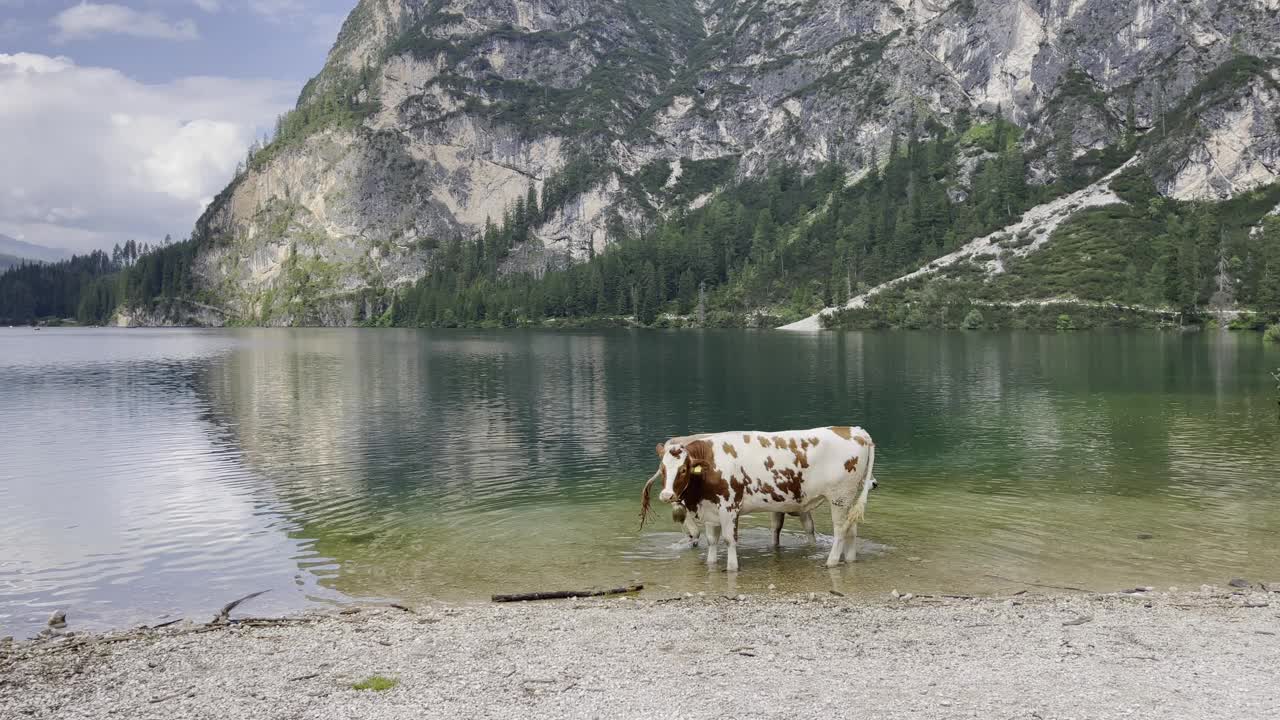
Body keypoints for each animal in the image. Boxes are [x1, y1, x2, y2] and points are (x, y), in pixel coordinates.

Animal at [645, 422, 875, 568]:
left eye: (683, 469)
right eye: (663, 469)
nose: (666, 495)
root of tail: (855, 430)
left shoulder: (729, 508)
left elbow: (729, 540)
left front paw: (732, 568)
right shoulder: (710, 509)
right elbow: (712, 541)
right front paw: (711, 564)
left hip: (840, 497)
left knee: (841, 531)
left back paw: (832, 561)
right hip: (849, 499)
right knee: (852, 529)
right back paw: (850, 560)